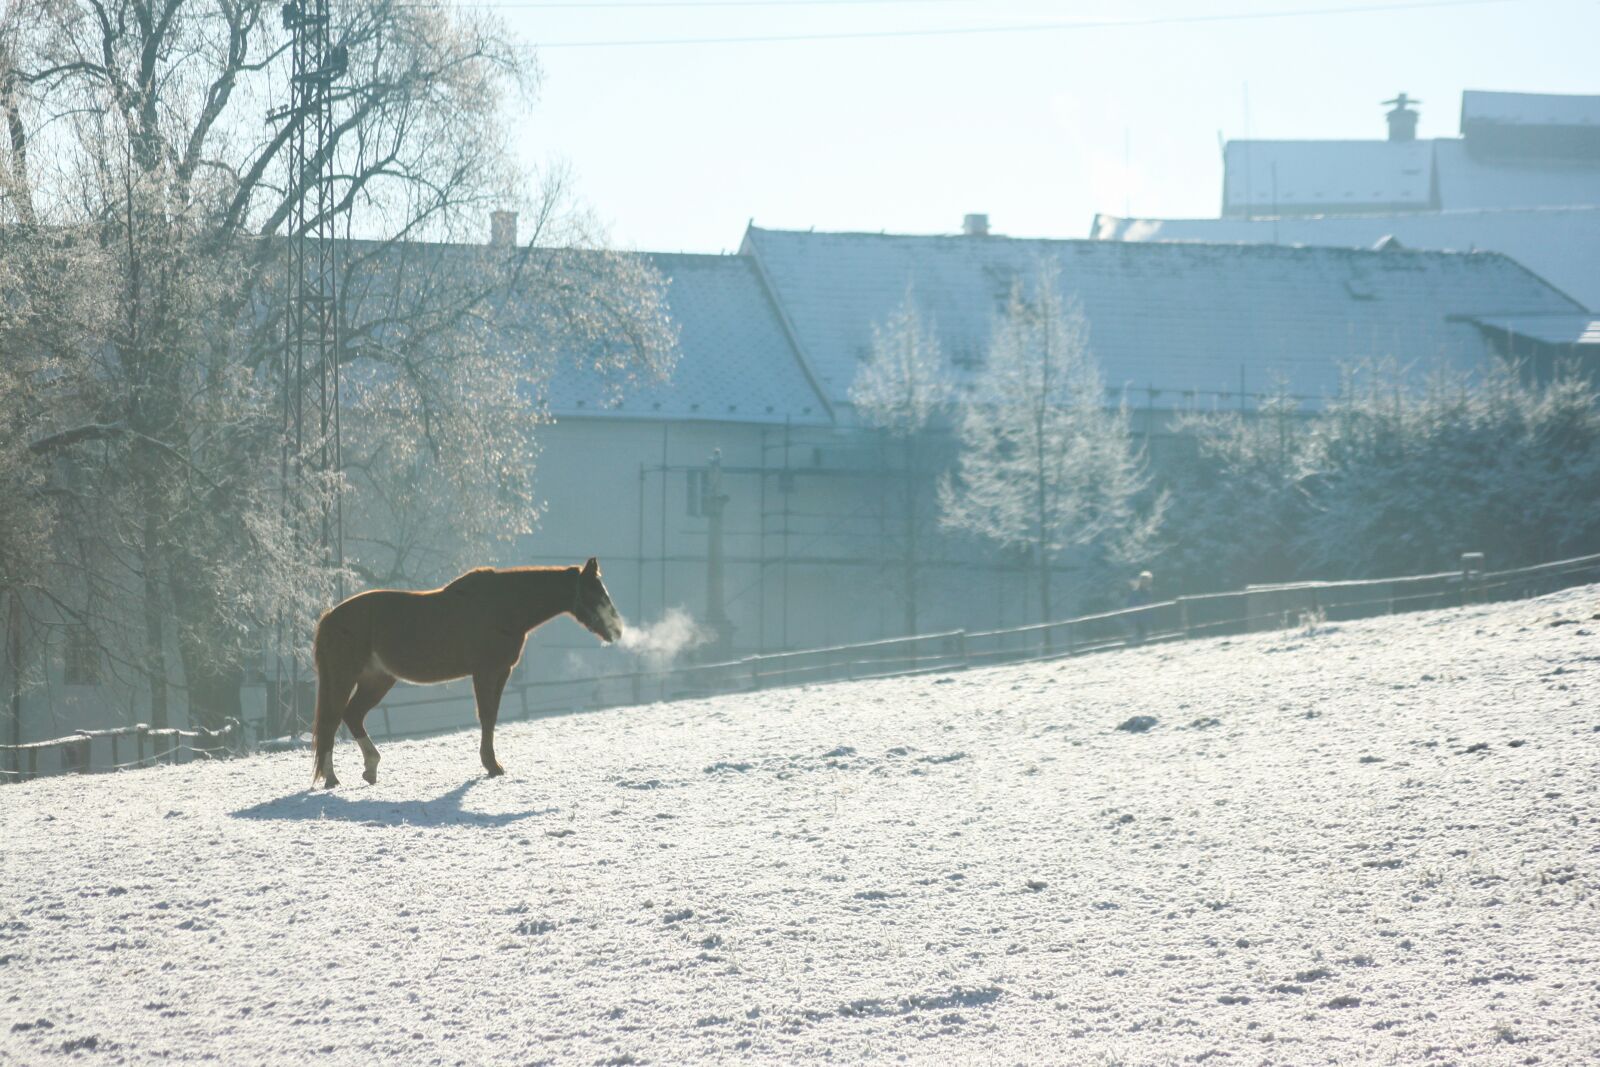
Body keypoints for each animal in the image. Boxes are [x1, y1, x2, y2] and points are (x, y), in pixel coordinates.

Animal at [309, 558, 622, 788]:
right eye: (595, 593)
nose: (617, 631)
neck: (502, 606)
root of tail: (330, 617)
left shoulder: (500, 672)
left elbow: (491, 717)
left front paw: (492, 764)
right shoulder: (486, 672)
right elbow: (486, 716)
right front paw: (492, 765)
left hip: (377, 680)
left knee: (352, 715)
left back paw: (370, 769)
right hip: (344, 677)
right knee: (331, 721)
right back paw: (332, 778)